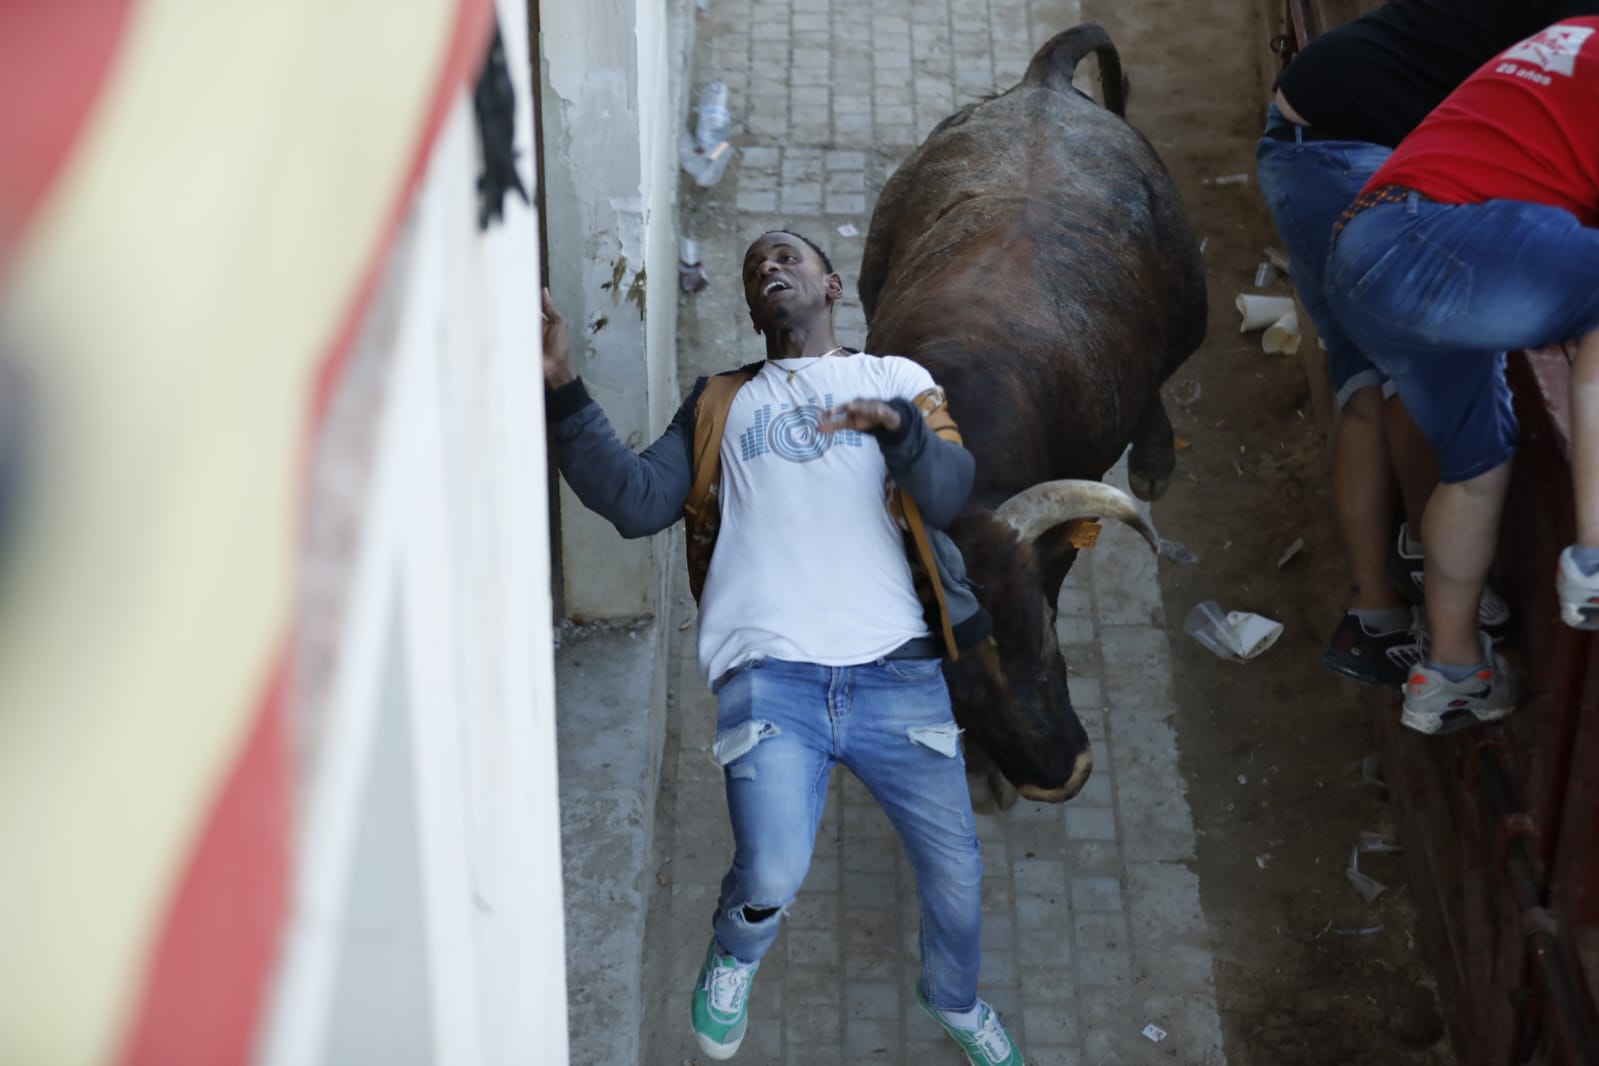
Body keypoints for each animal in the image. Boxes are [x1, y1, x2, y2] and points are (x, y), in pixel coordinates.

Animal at [863, 22, 1202, 808]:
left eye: (1045, 630)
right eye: (950, 687)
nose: (1063, 776)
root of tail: (1043, 81)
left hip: (1191, 304)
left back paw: (1155, 459)